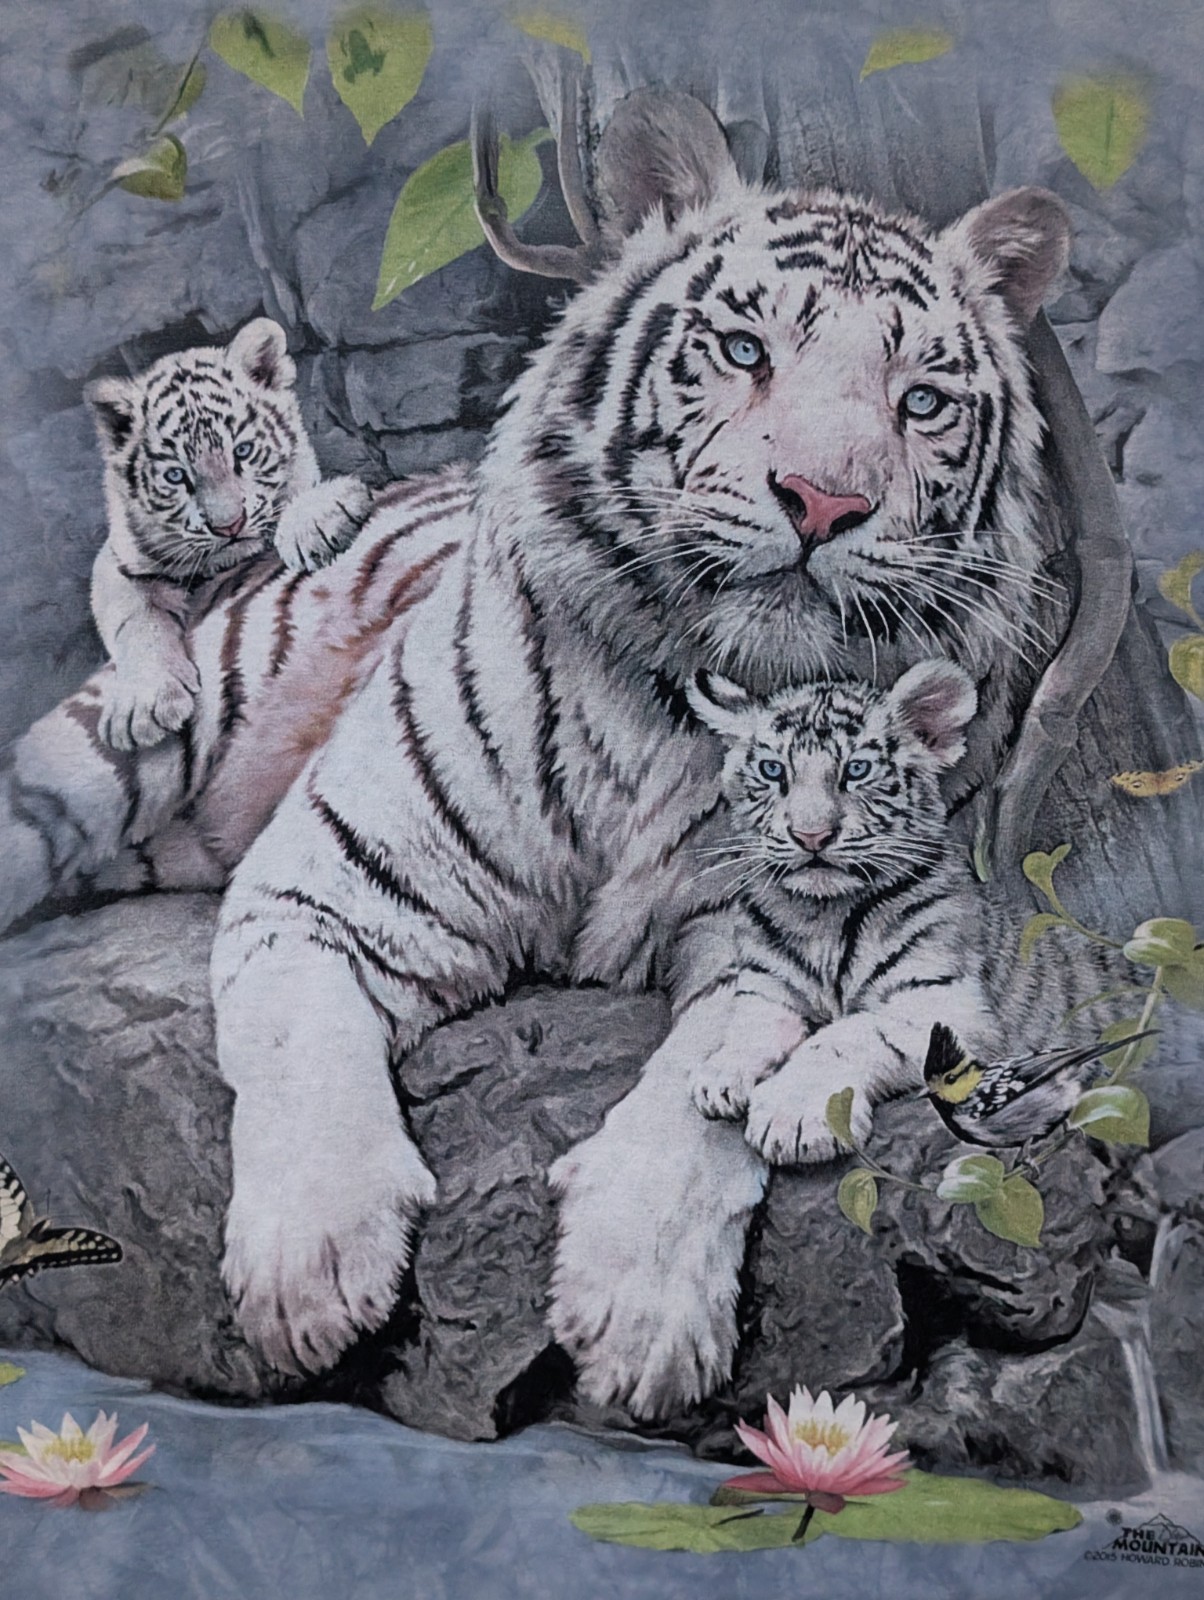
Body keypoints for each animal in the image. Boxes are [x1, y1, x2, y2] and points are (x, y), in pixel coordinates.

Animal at [86, 318, 371, 751]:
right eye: (176, 475)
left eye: (244, 451)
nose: (229, 525)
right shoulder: (117, 561)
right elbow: (136, 618)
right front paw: (144, 703)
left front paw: (317, 522)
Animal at [677, 660, 1122, 1164]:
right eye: (773, 771)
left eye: (856, 769)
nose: (811, 836)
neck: (821, 918)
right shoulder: (770, 987)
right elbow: (752, 1023)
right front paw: (720, 1075)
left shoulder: (949, 1006)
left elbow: (846, 1036)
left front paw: (792, 1117)